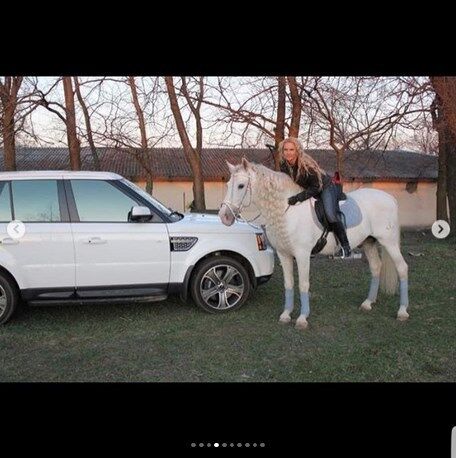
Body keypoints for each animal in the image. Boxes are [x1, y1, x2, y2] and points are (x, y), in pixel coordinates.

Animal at [218, 157, 410, 330]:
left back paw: (402, 311)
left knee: (402, 268)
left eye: (241, 186)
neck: (287, 211)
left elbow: (303, 284)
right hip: (369, 243)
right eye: (227, 185)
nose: (224, 217)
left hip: (389, 242)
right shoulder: (284, 254)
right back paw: (368, 303)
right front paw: (286, 315)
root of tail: (389, 198)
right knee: (376, 267)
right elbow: (289, 284)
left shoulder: (303, 255)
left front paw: (302, 318)